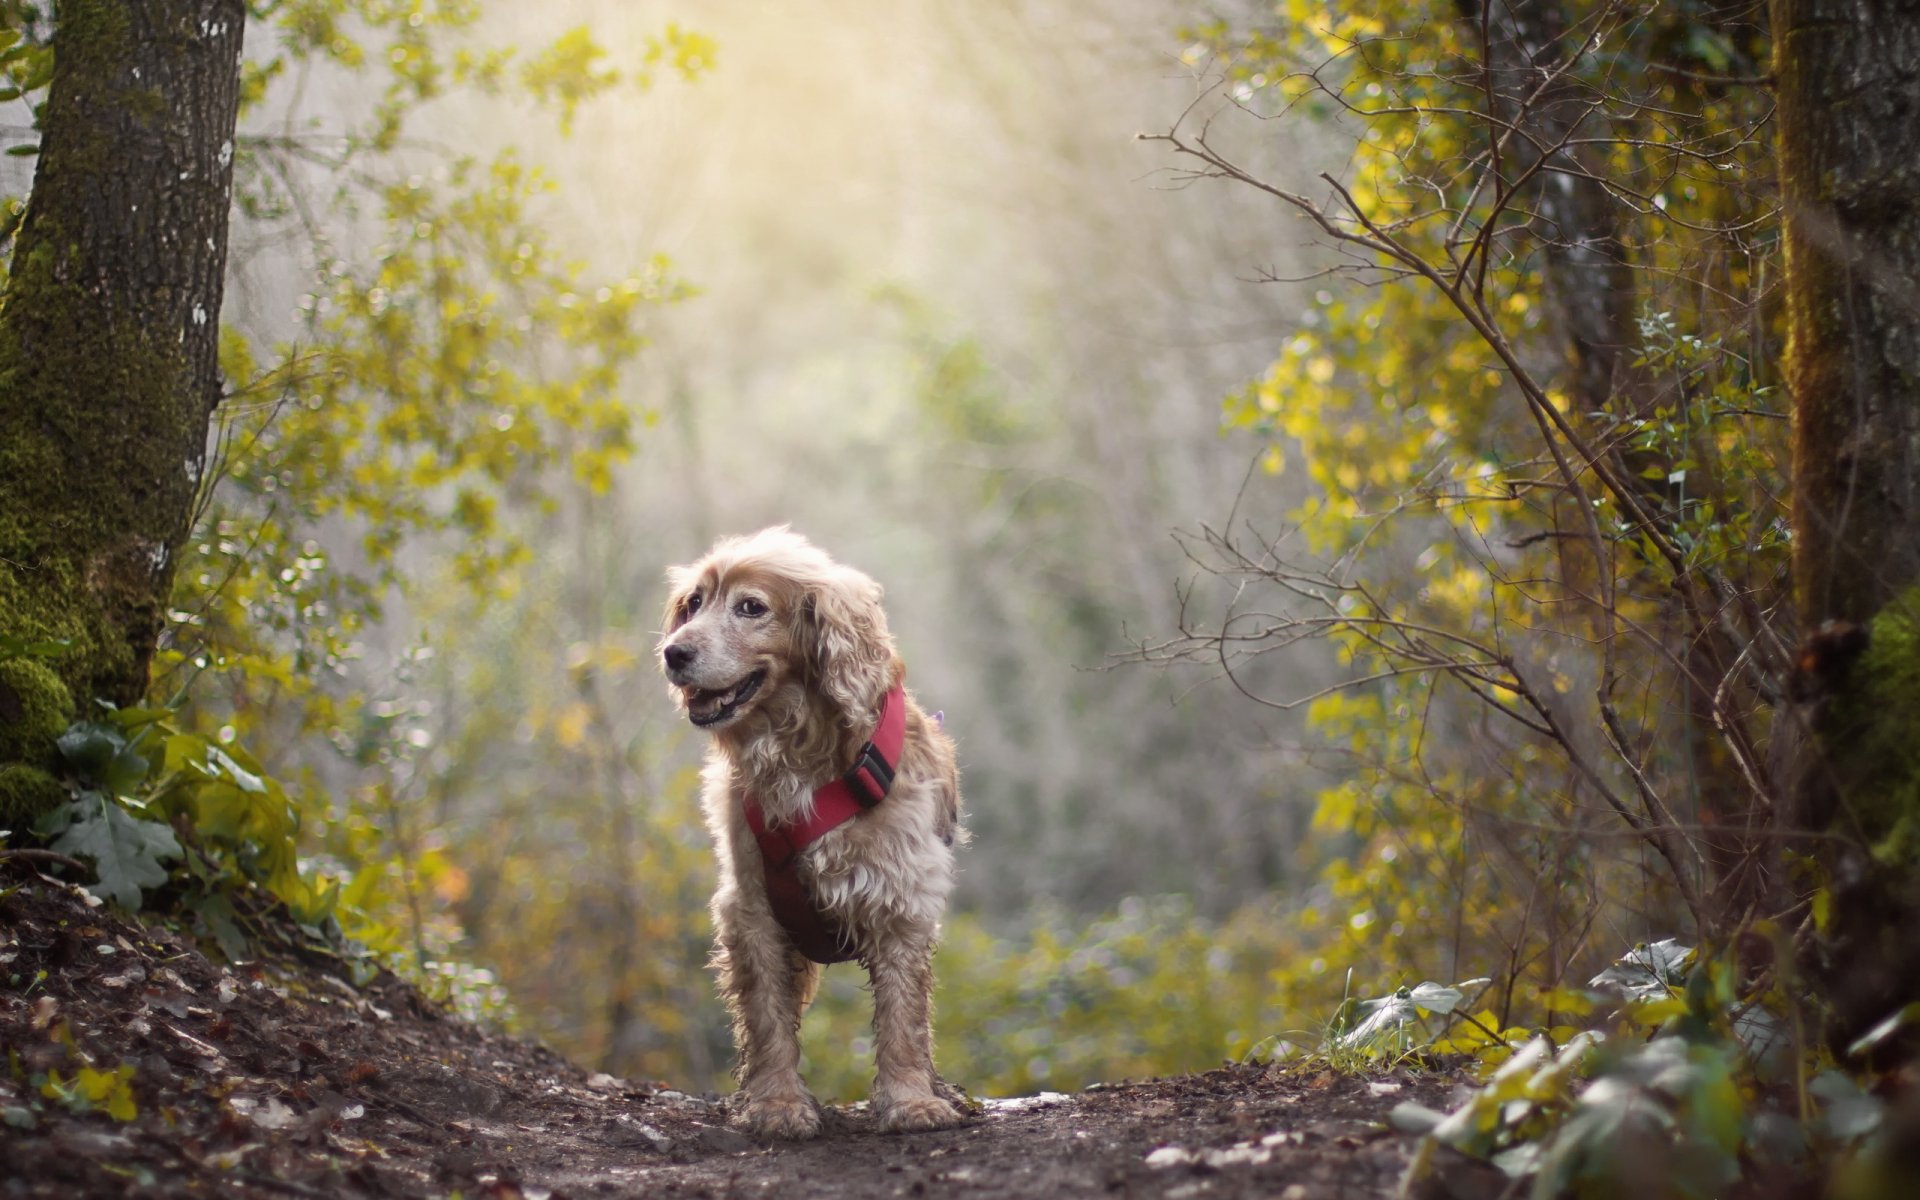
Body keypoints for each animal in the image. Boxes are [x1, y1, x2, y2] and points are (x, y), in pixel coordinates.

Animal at [660, 529, 967, 1136]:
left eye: (751, 607)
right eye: (694, 603)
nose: (673, 652)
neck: (798, 752)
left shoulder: (900, 897)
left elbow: (903, 1016)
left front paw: (910, 1100)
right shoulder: (751, 906)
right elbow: (767, 1020)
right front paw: (777, 1103)